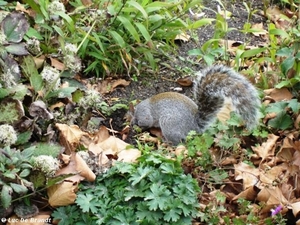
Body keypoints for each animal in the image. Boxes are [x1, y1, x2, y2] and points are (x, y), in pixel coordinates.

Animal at [131, 65, 260, 145]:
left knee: (178, 143)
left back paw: (166, 143)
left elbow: (146, 122)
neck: (137, 109)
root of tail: (194, 127)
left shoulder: (144, 114)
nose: (130, 121)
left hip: (169, 125)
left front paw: (137, 124)